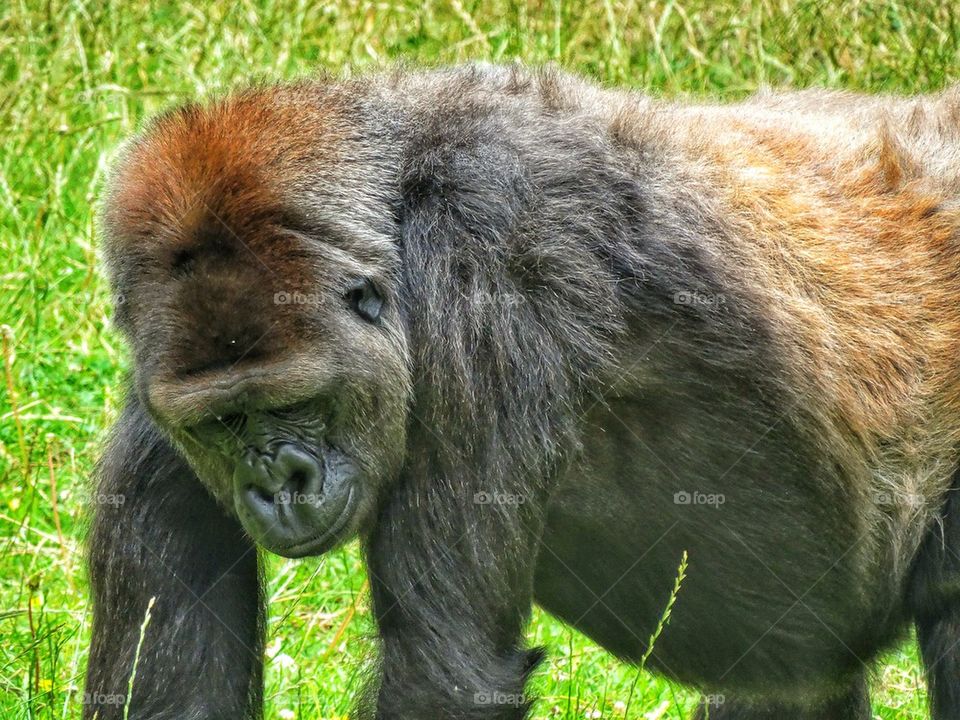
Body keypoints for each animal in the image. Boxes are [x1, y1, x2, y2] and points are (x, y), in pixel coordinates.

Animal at [83, 64, 960, 720]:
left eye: (295, 401)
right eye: (226, 422)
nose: (278, 484)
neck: (398, 201)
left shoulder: (487, 267)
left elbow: (446, 673)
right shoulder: (155, 382)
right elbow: (170, 690)